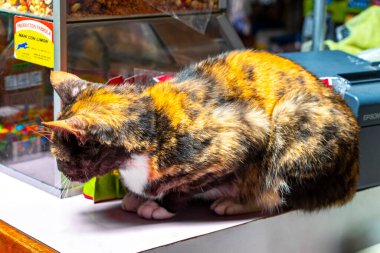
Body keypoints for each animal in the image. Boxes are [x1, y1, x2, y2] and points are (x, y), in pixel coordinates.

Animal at [43, 49, 360, 219]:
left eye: (61, 157)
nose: (60, 170)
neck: (155, 124)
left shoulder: (246, 133)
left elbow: (184, 187)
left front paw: (157, 206)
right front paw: (137, 198)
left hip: (291, 117)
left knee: (277, 193)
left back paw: (235, 203)